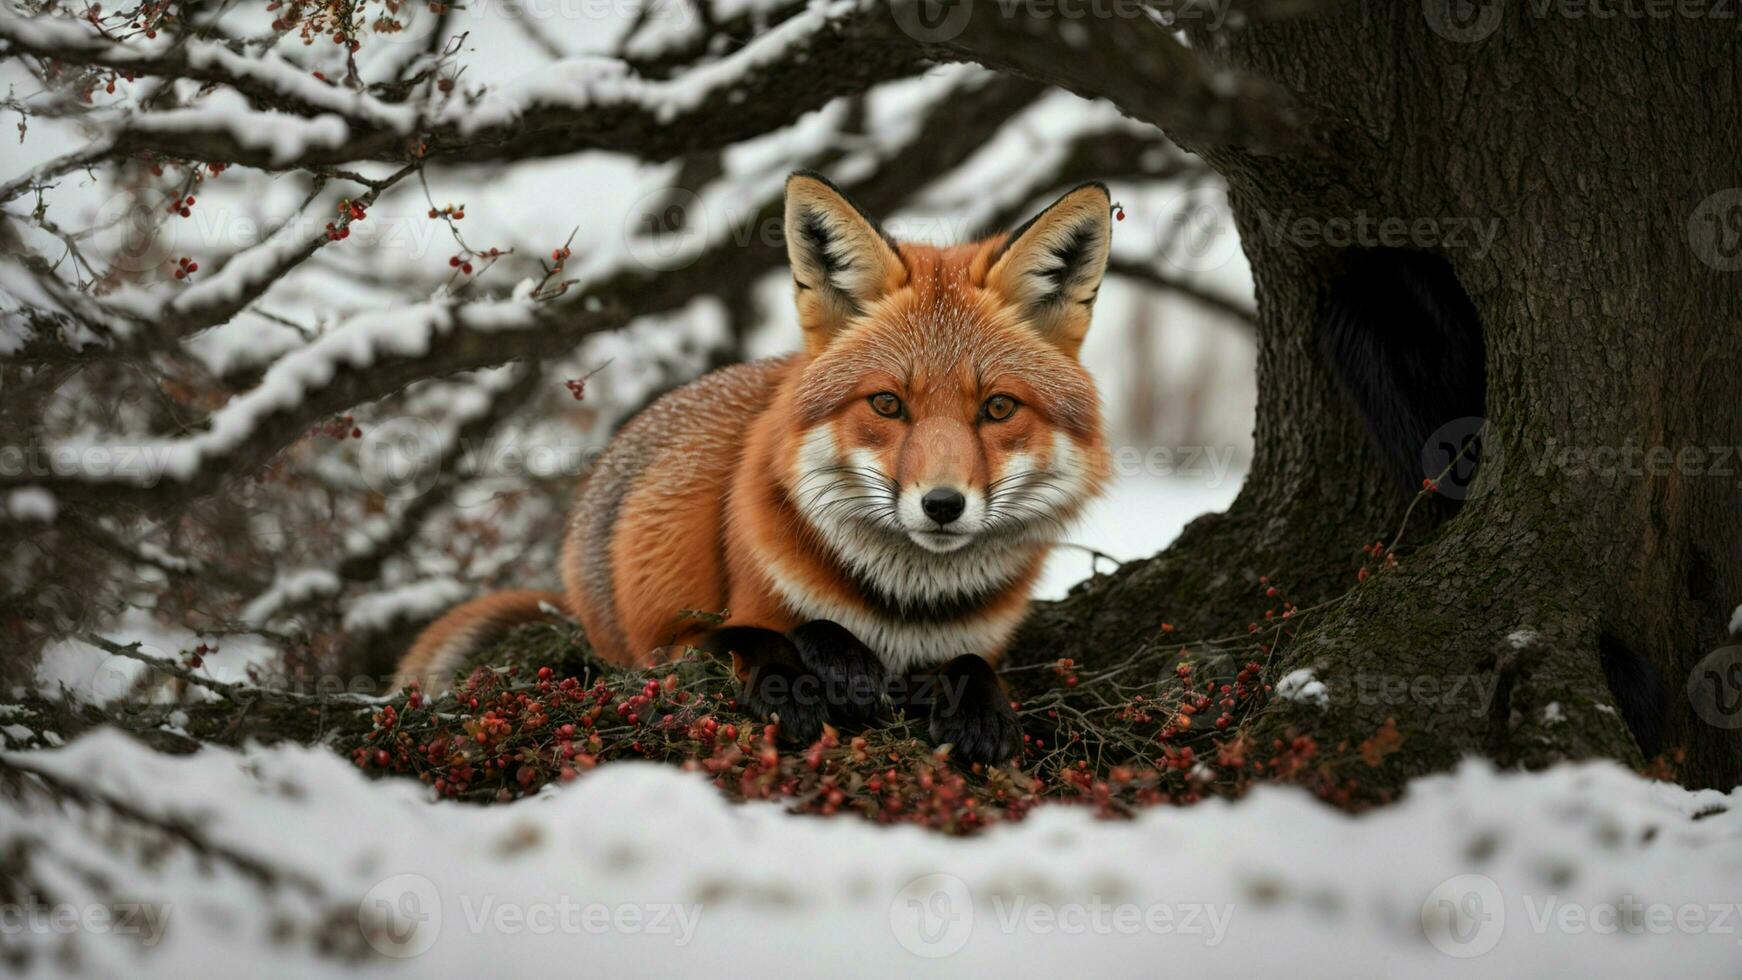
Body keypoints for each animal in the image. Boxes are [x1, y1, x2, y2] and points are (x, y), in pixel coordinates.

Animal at [397, 172, 1107, 762]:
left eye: (998, 407)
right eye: (887, 403)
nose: (941, 505)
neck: (905, 611)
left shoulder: (981, 642)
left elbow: (974, 666)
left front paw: (981, 713)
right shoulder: (679, 640)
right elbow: (762, 632)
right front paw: (814, 679)